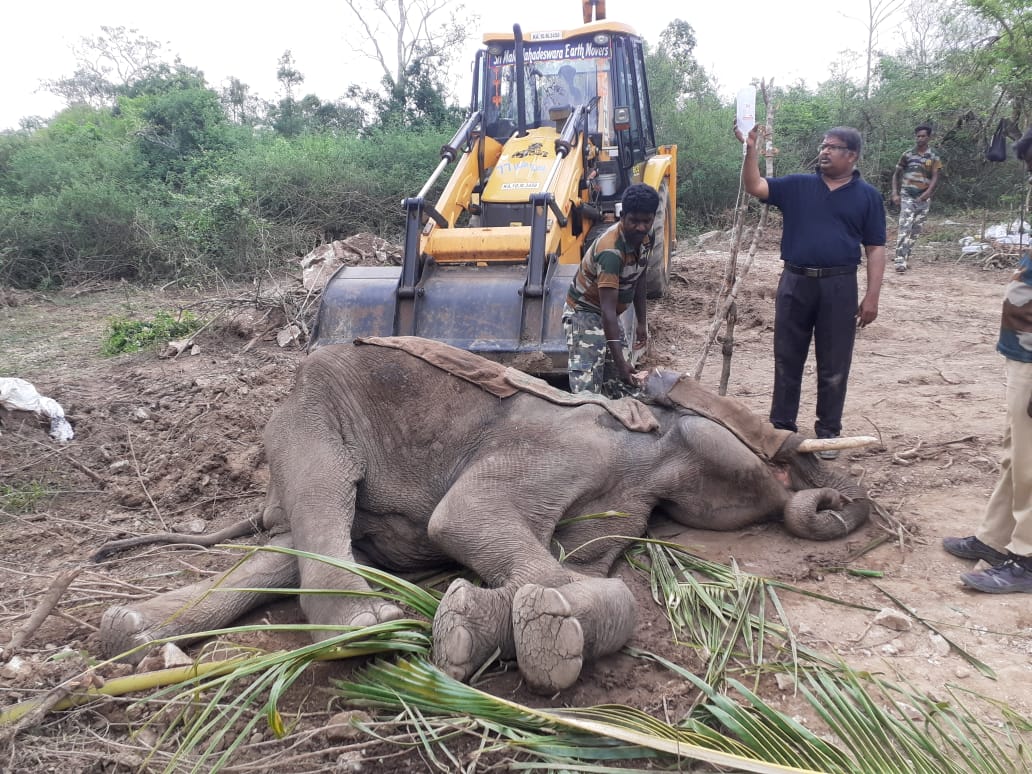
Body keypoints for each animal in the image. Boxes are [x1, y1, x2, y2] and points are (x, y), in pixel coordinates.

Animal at [98, 338, 871, 697]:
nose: (835, 502)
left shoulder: (624, 502)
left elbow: (575, 564)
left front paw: (478, 627)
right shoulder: (565, 444)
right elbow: (464, 518)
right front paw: (544, 630)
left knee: (291, 544)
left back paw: (128, 633)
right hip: (314, 410)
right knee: (322, 494)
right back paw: (361, 630)